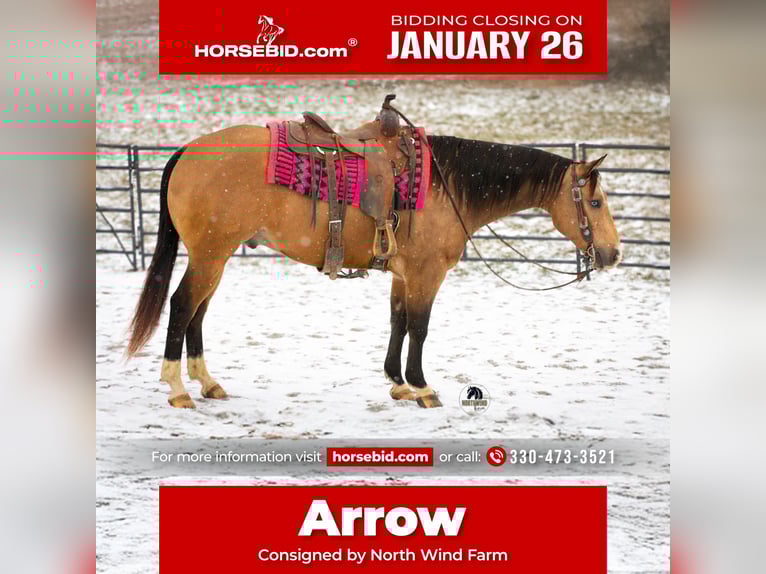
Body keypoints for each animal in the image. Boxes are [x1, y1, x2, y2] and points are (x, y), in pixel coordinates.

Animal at [125, 125, 622, 409]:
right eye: (596, 202)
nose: (614, 254)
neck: (448, 185)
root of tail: (188, 151)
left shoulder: (402, 275)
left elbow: (398, 322)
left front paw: (397, 383)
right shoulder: (426, 274)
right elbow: (419, 327)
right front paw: (422, 388)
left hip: (216, 256)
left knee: (198, 312)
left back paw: (208, 383)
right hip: (210, 255)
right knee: (182, 305)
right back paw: (177, 388)